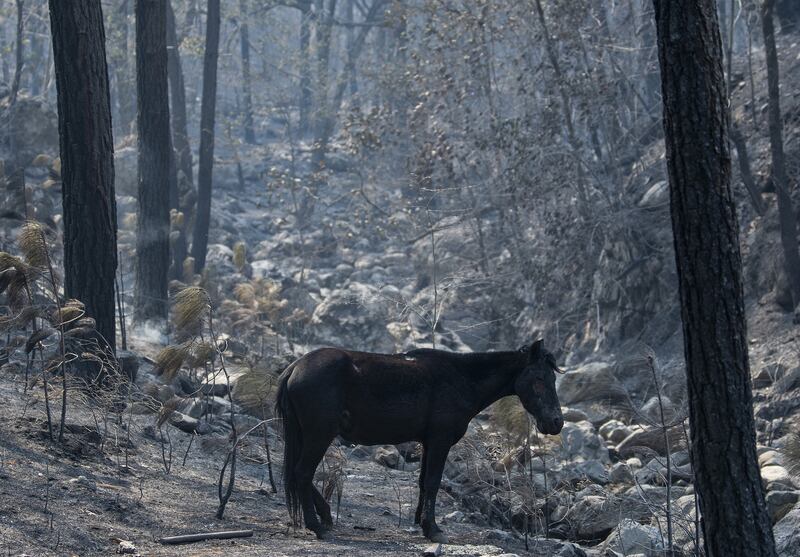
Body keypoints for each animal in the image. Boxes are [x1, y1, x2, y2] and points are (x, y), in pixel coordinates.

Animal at [276, 336, 564, 540]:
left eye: (552, 378)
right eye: (539, 379)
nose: (556, 422)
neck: (461, 378)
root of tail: (295, 368)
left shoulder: (428, 443)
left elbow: (424, 483)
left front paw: (423, 523)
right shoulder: (440, 441)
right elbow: (434, 482)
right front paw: (433, 529)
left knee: (297, 473)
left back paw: (325, 515)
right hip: (319, 435)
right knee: (302, 473)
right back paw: (317, 526)